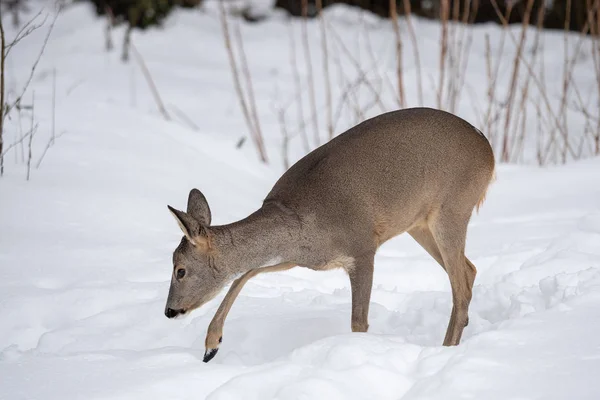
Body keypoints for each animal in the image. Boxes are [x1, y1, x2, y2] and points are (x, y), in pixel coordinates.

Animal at [164, 108, 492, 364]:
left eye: (180, 270)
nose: (169, 311)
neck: (299, 222)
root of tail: (487, 149)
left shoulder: (362, 247)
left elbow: (358, 321)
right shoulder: (297, 258)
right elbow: (245, 273)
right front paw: (211, 344)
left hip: (452, 208)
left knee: (461, 285)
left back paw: (447, 350)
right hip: (420, 224)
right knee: (470, 270)